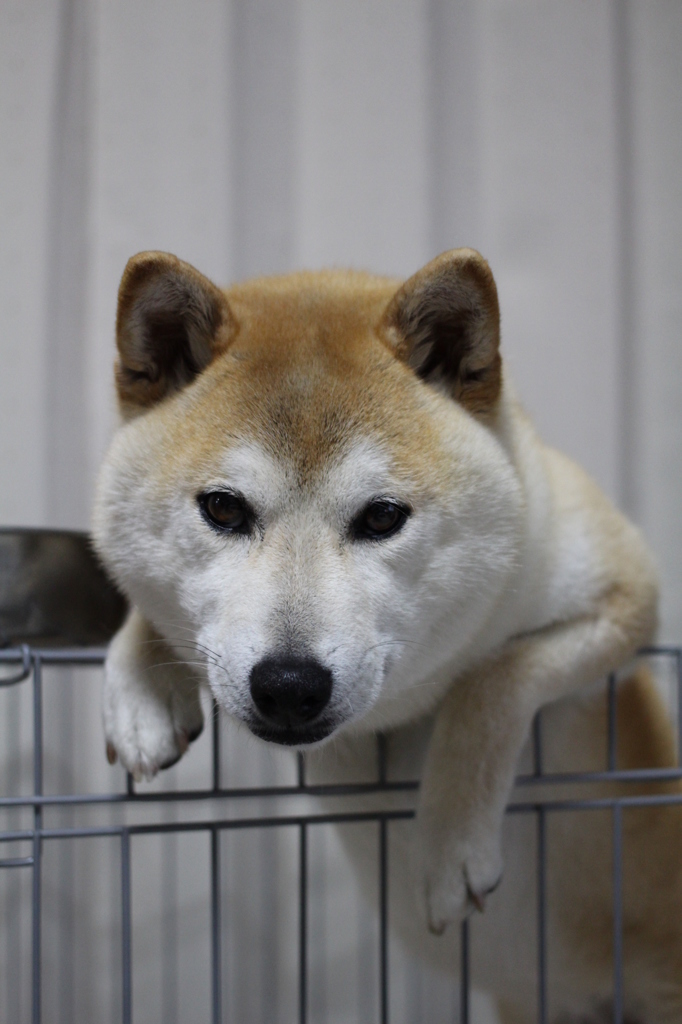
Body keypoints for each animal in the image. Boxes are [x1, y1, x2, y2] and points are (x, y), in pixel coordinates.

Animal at [91, 249, 679, 1024]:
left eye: (381, 517)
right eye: (222, 508)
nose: (288, 685)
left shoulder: (625, 596)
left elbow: (492, 680)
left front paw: (447, 844)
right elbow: (140, 604)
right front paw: (141, 690)